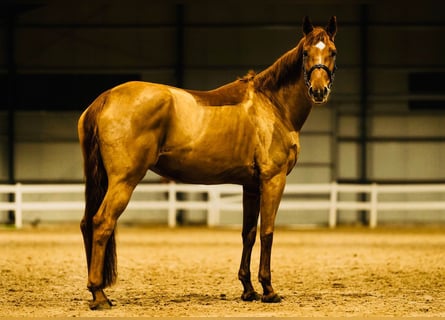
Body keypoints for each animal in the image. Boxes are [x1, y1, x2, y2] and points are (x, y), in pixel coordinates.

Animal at [79, 16, 336, 308]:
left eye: (332, 52)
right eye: (305, 52)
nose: (319, 90)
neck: (271, 104)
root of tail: (106, 97)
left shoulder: (251, 186)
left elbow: (248, 233)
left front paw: (248, 289)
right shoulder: (273, 180)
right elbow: (267, 232)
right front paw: (269, 290)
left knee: (87, 223)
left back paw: (96, 291)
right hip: (124, 181)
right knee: (102, 222)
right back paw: (99, 294)